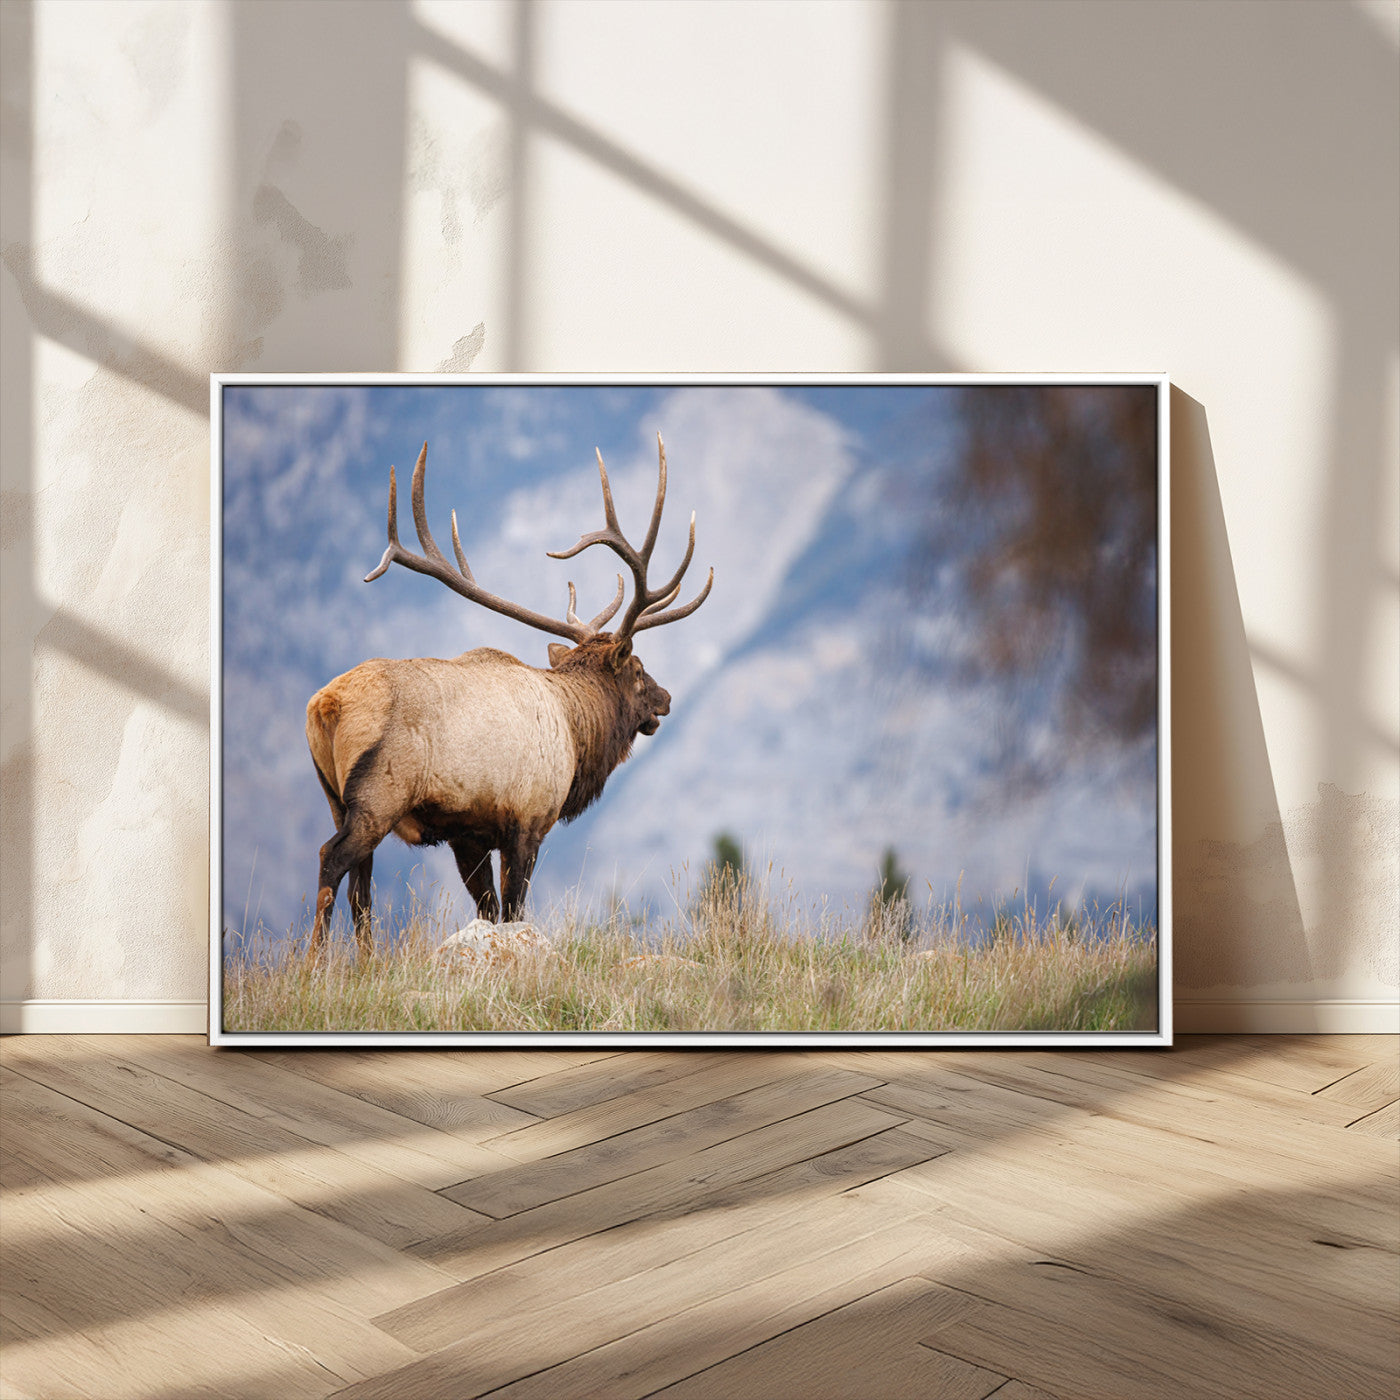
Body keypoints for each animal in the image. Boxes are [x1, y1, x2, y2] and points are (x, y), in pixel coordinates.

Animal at [303, 434, 711, 959]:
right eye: (638, 670)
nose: (666, 698)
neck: (576, 735)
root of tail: (325, 706)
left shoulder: (468, 834)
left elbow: (489, 909)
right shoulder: (529, 820)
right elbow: (515, 909)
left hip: (334, 795)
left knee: (362, 884)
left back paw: (367, 962)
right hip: (380, 794)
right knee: (332, 859)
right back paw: (312, 962)